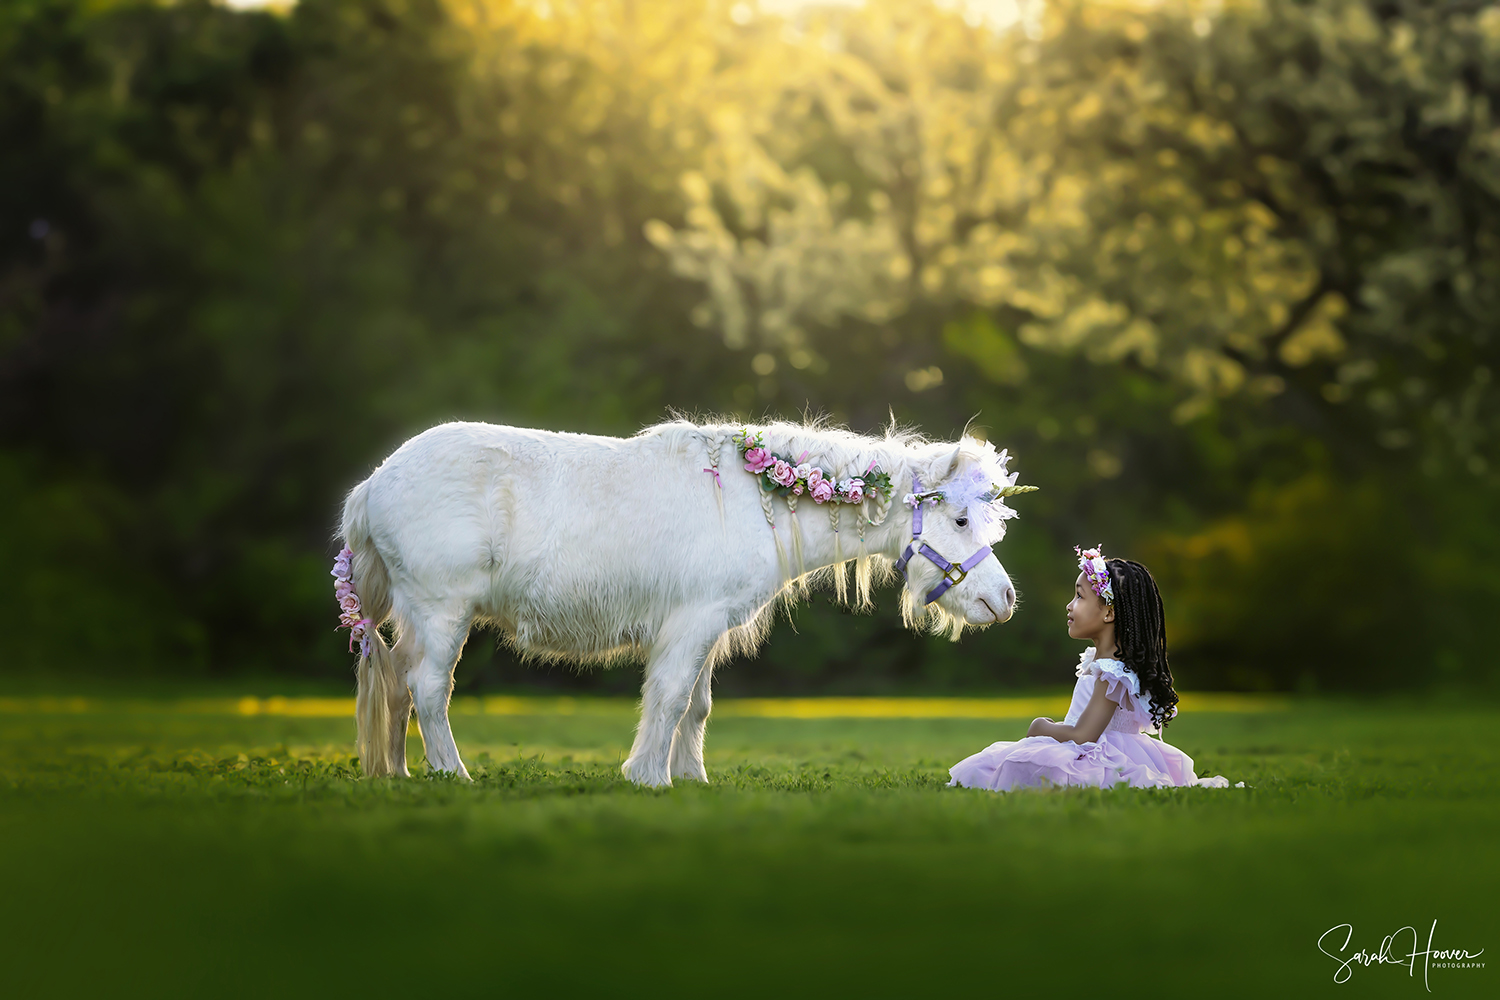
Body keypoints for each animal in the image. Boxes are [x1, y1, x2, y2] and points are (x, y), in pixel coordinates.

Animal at [337, 419, 1032, 785]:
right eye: (962, 520)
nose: (1004, 598)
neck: (757, 501)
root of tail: (374, 482)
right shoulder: (693, 623)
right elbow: (670, 699)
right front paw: (648, 775)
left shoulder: (707, 626)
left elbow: (696, 707)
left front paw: (691, 778)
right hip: (441, 613)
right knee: (428, 689)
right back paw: (452, 774)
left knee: (399, 688)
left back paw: (400, 774)